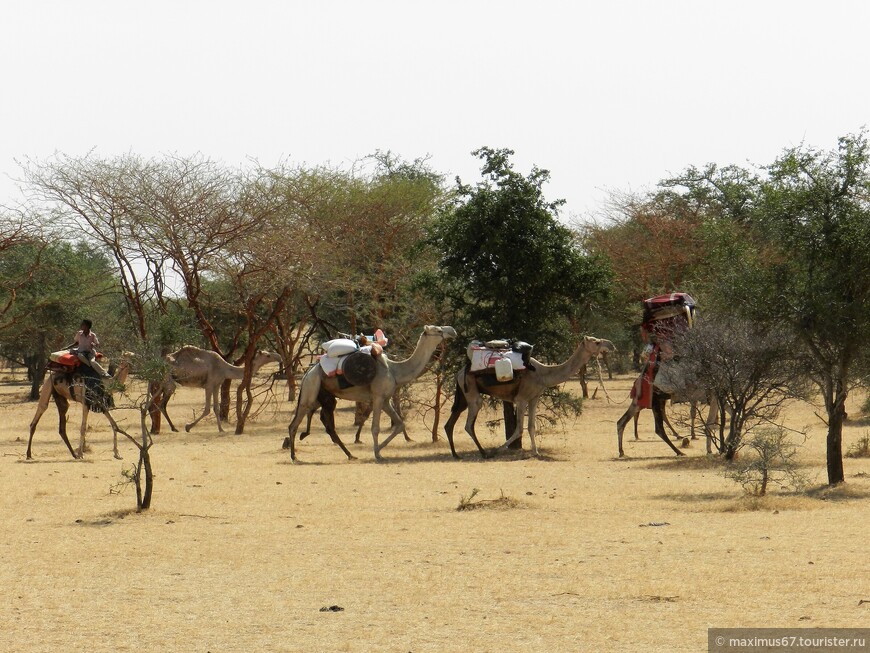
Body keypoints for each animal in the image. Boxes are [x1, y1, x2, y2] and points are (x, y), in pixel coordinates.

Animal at [152, 346, 282, 432]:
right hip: (168, 380)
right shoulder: (209, 385)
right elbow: (207, 409)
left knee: (156, 401)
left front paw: (221, 429)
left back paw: (169, 427)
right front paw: (188, 427)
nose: (279, 357)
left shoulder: (217, 385)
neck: (224, 368)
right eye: (268, 355)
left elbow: (216, 407)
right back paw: (173, 428)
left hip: (163, 381)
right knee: (162, 402)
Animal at [288, 324, 464, 458]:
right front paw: (377, 454)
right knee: (295, 423)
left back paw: (350, 455)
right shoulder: (378, 397)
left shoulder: (385, 399)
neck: (395, 371)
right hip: (311, 389)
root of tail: (308, 373)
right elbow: (375, 428)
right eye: (438, 330)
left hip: (323, 395)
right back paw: (294, 456)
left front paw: (379, 449)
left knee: (325, 425)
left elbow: (400, 424)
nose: (453, 331)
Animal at [446, 336, 616, 458]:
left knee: (450, 422)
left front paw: (536, 452)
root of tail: (460, 372)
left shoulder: (534, 398)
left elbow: (531, 426)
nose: (612, 345)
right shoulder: (521, 399)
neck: (542, 374)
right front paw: (497, 450)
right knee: (469, 423)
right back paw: (484, 453)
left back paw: (456, 455)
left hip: (463, 395)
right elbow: (519, 429)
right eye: (597, 342)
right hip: (471, 391)